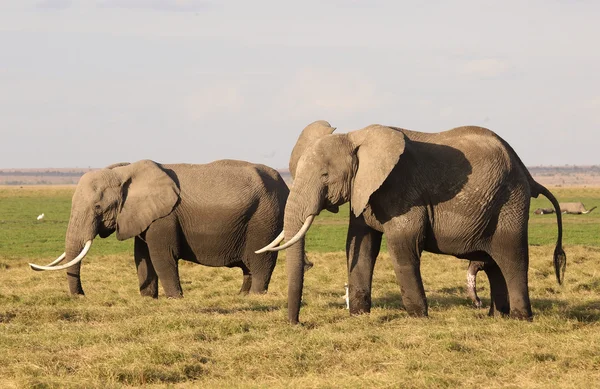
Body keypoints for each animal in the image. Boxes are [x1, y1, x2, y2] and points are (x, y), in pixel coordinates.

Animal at [258, 119, 568, 322]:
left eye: (325, 176)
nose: (297, 323)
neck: (355, 136)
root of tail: (527, 173)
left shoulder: (402, 188)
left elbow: (402, 243)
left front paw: (418, 317)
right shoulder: (364, 189)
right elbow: (360, 243)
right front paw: (359, 316)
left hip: (510, 202)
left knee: (511, 257)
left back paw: (520, 318)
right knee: (492, 263)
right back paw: (496, 317)